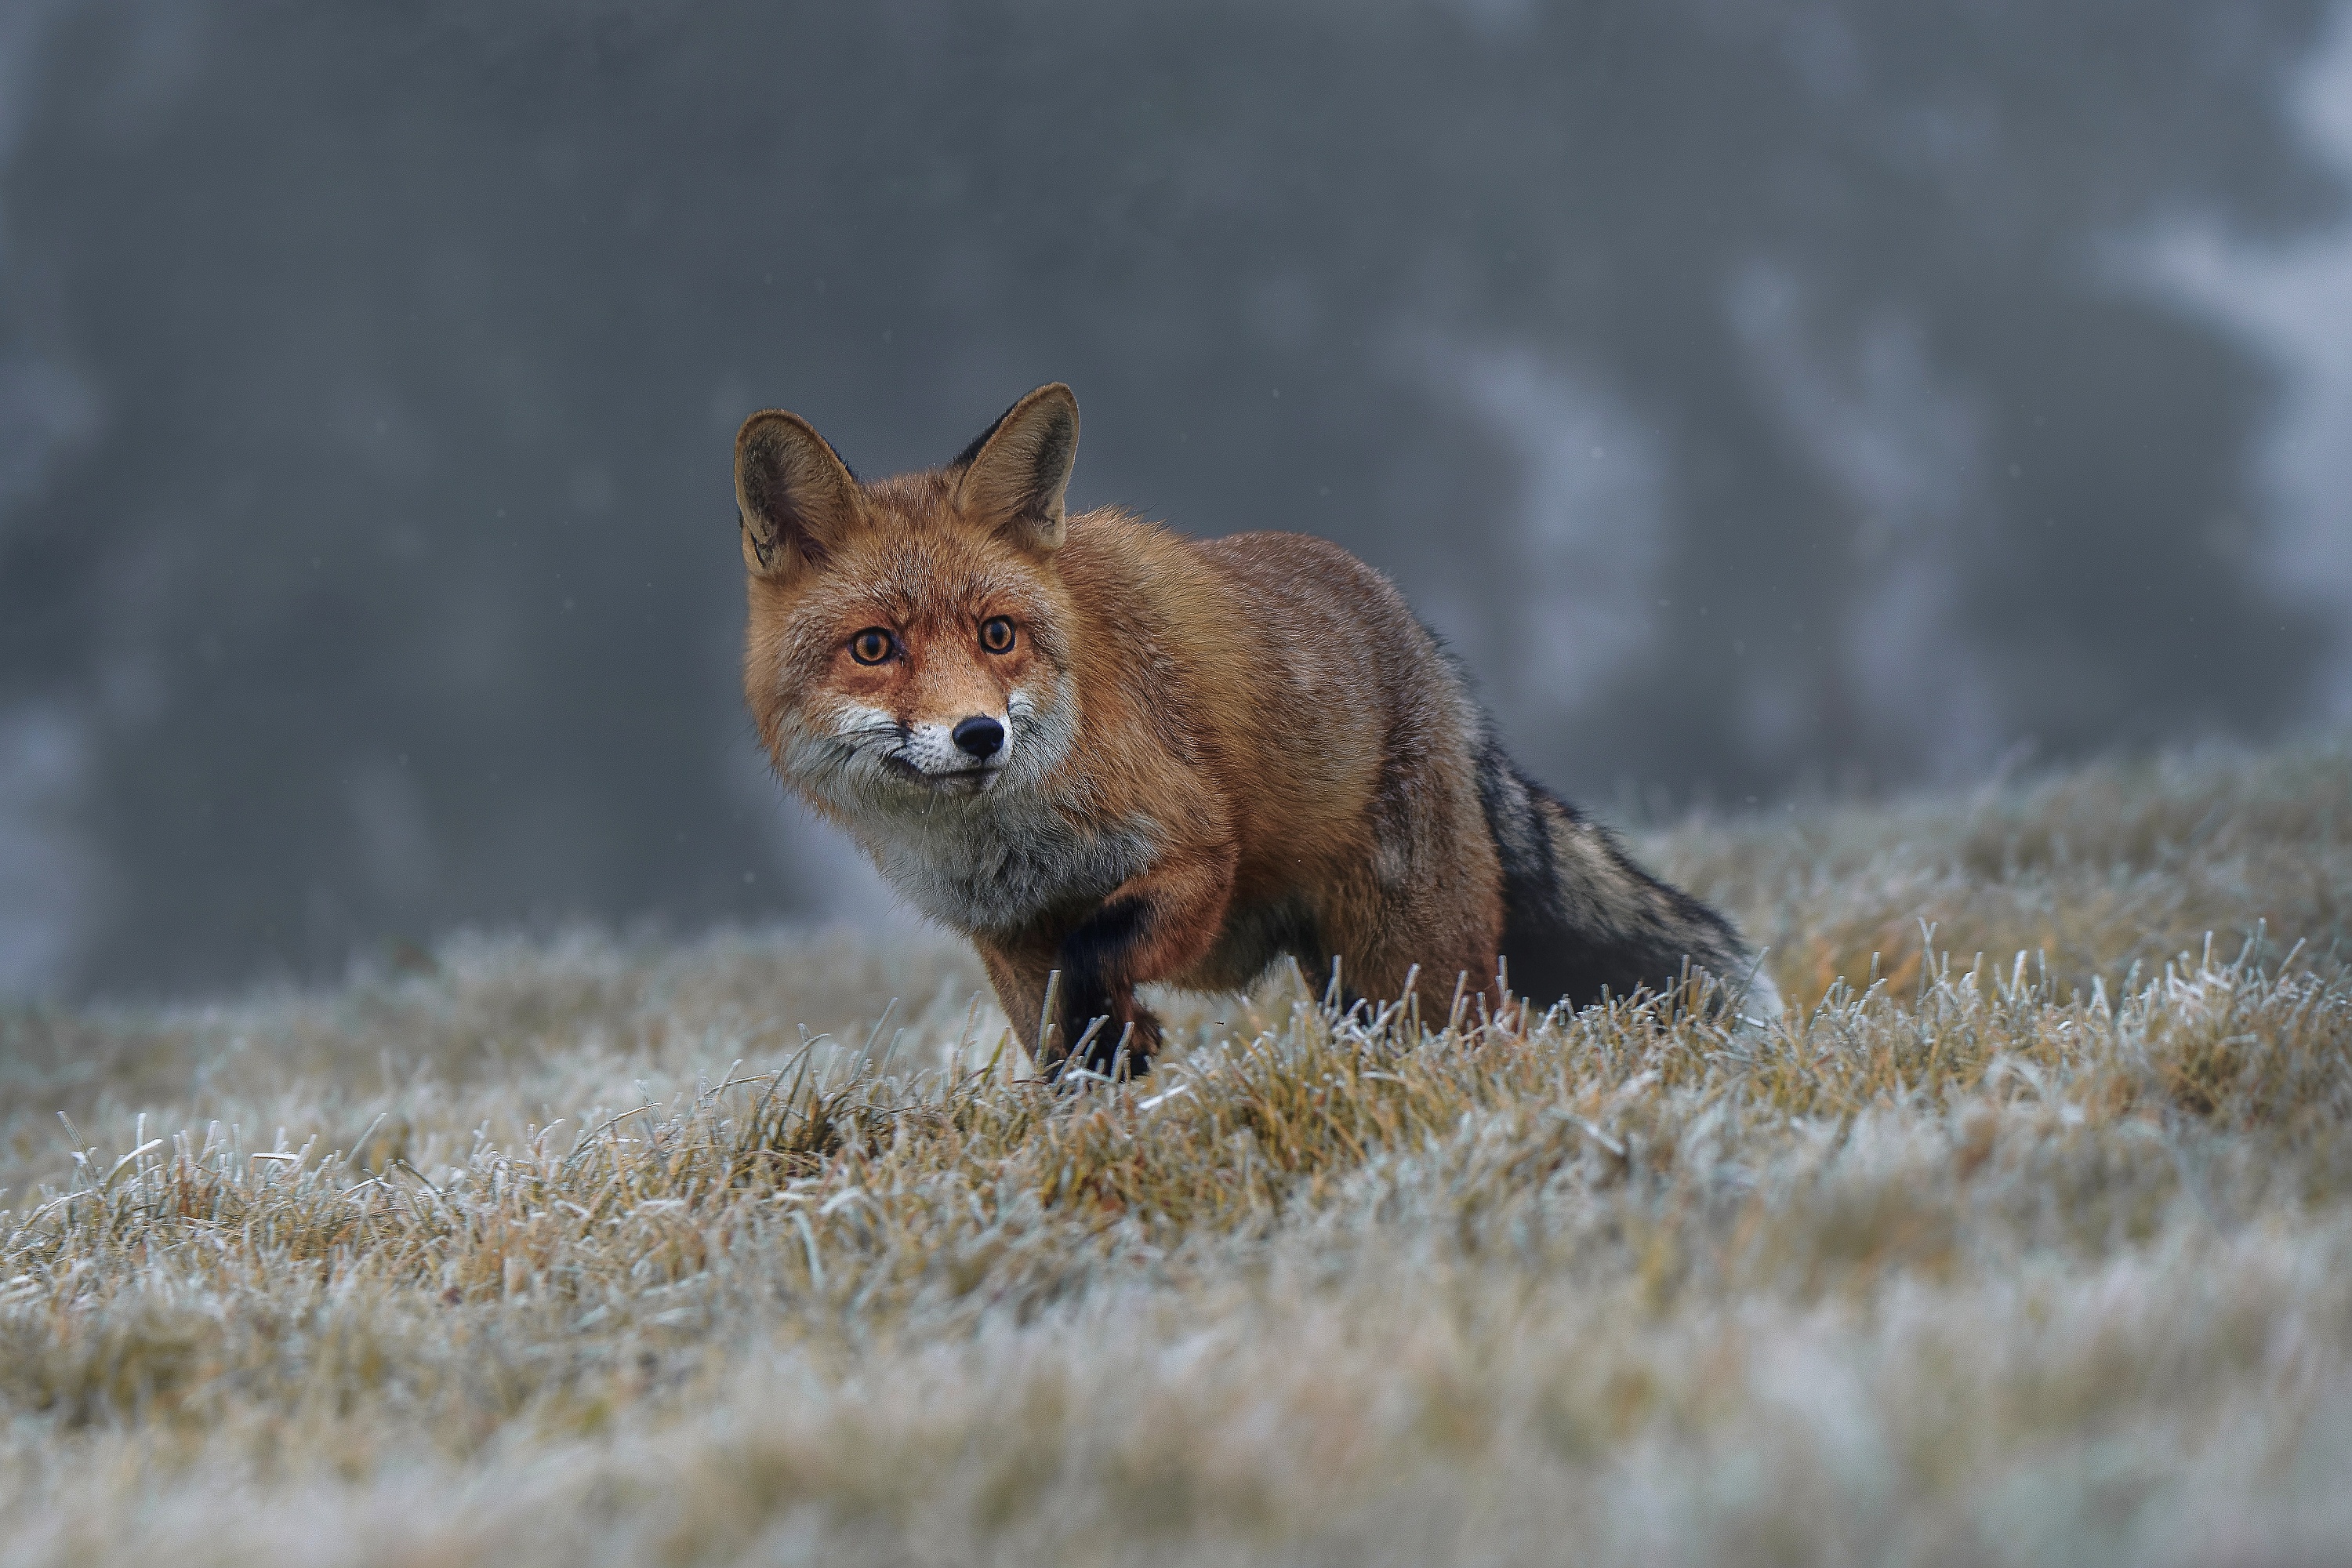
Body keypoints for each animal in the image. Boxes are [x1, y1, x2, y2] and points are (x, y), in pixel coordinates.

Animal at [735, 383, 1779, 1077]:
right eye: (876, 646)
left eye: (998, 634)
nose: (980, 734)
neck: (1009, 841)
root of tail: (1430, 649)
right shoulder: (1007, 937)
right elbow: (1063, 1050)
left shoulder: (1197, 852)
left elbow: (1098, 952)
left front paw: (1122, 1030)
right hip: (1359, 989)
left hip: (1416, 966)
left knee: (1494, 1037)